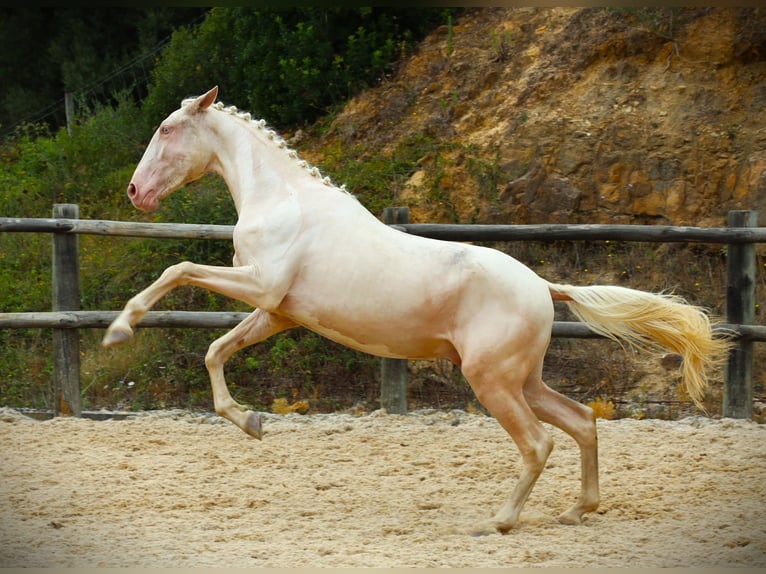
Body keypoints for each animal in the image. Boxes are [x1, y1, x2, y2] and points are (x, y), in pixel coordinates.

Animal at [102, 88, 732, 536]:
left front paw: (118, 330)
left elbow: (178, 268)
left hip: (491, 380)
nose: (135, 192)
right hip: (523, 380)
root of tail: (542, 286)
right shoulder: (277, 311)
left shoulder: (261, 285)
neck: (280, 199)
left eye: (166, 129)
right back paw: (578, 511)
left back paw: (500, 521)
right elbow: (214, 349)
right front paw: (251, 422)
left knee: (538, 444)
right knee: (581, 422)